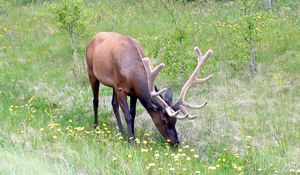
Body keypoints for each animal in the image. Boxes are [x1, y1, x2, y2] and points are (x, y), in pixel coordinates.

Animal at [85, 32, 213, 146]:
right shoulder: (120, 87)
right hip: (91, 72)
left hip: (112, 84)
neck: (131, 73)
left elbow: (133, 113)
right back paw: (96, 128)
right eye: (164, 120)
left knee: (114, 104)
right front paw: (132, 142)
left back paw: (122, 132)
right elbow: (128, 115)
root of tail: (93, 37)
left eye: (175, 121)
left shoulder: (132, 91)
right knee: (95, 101)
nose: (176, 142)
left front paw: (132, 137)